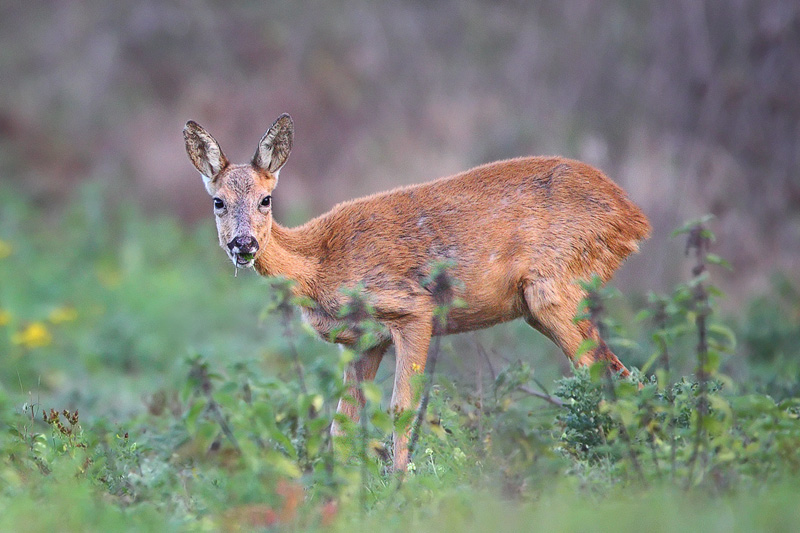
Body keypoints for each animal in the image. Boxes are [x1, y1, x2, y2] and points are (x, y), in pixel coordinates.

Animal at [186, 112, 648, 470]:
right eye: (218, 202)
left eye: (266, 199)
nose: (244, 244)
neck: (319, 264)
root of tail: (633, 216)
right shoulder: (361, 342)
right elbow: (343, 422)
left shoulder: (411, 310)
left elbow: (401, 410)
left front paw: (399, 486)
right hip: (542, 306)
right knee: (616, 374)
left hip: (555, 287)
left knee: (605, 374)